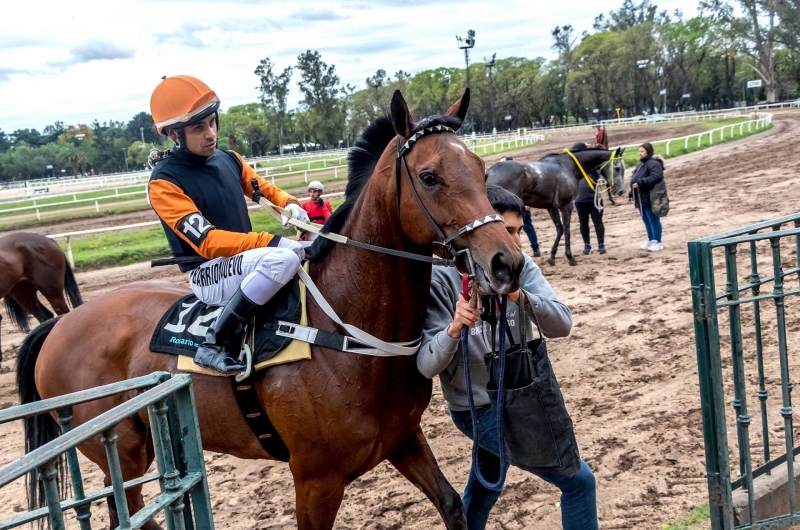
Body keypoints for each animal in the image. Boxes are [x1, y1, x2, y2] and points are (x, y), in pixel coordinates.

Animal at [15, 88, 524, 524]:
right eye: (429, 177)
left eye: (480, 170)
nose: (507, 263)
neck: (346, 337)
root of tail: (60, 325)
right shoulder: (316, 480)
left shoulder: (402, 439)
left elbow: (453, 504)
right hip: (122, 449)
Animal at [484, 145, 628, 264]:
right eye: (617, 168)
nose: (621, 190)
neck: (568, 167)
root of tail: (489, 171)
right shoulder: (567, 205)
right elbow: (567, 229)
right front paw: (570, 257)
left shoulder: (551, 207)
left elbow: (560, 229)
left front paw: (552, 257)